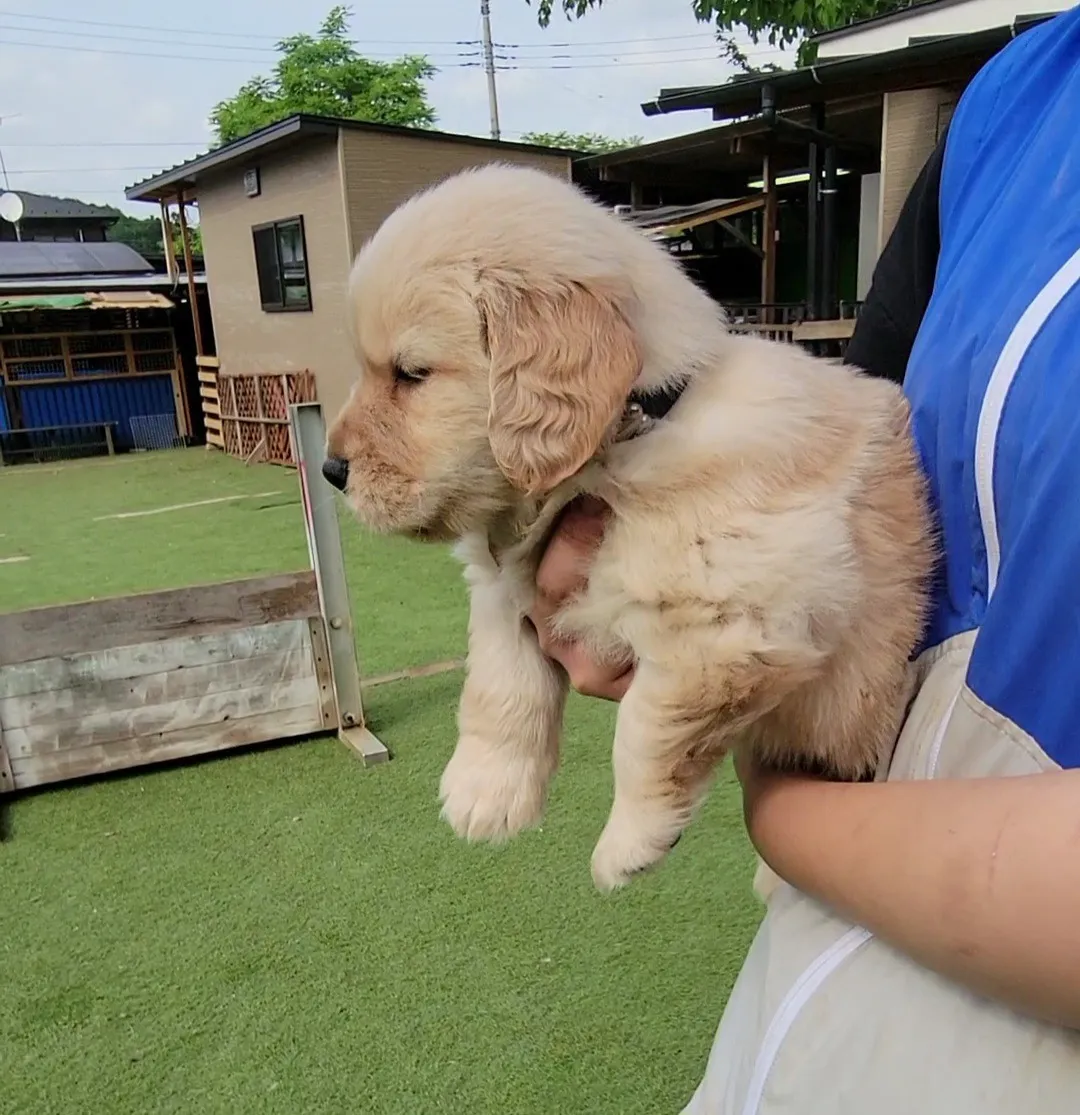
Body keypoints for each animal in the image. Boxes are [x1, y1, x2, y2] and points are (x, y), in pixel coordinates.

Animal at [325, 165, 931, 892]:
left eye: (411, 373)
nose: (330, 469)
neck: (622, 442)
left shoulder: (729, 626)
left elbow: (644, 728)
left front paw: (630, 842)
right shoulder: (503, 585)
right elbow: (500, 679)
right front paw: (484, 791)